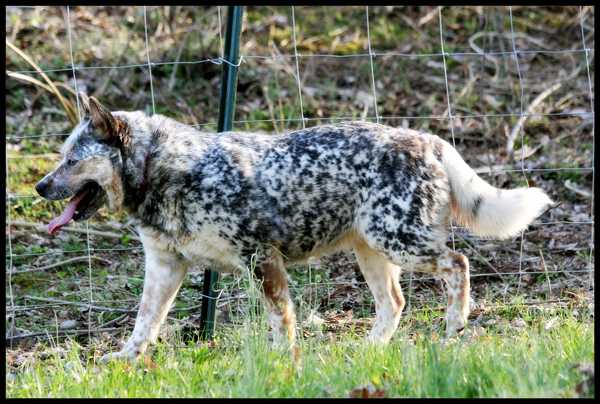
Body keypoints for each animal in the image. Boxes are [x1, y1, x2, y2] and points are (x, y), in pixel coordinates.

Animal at [34, 94, 552, 360]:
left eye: (72, 160)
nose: (39, 186)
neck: (168, 170)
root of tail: (428, 139)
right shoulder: (165, 267)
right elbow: (145, 323)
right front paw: (125, 359)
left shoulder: (260, 258)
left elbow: (281, 318)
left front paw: (285, 359)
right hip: (373, 253)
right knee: (395, 303)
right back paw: (369, 348)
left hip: (402, 241)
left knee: (458, 263)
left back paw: (454, 326)